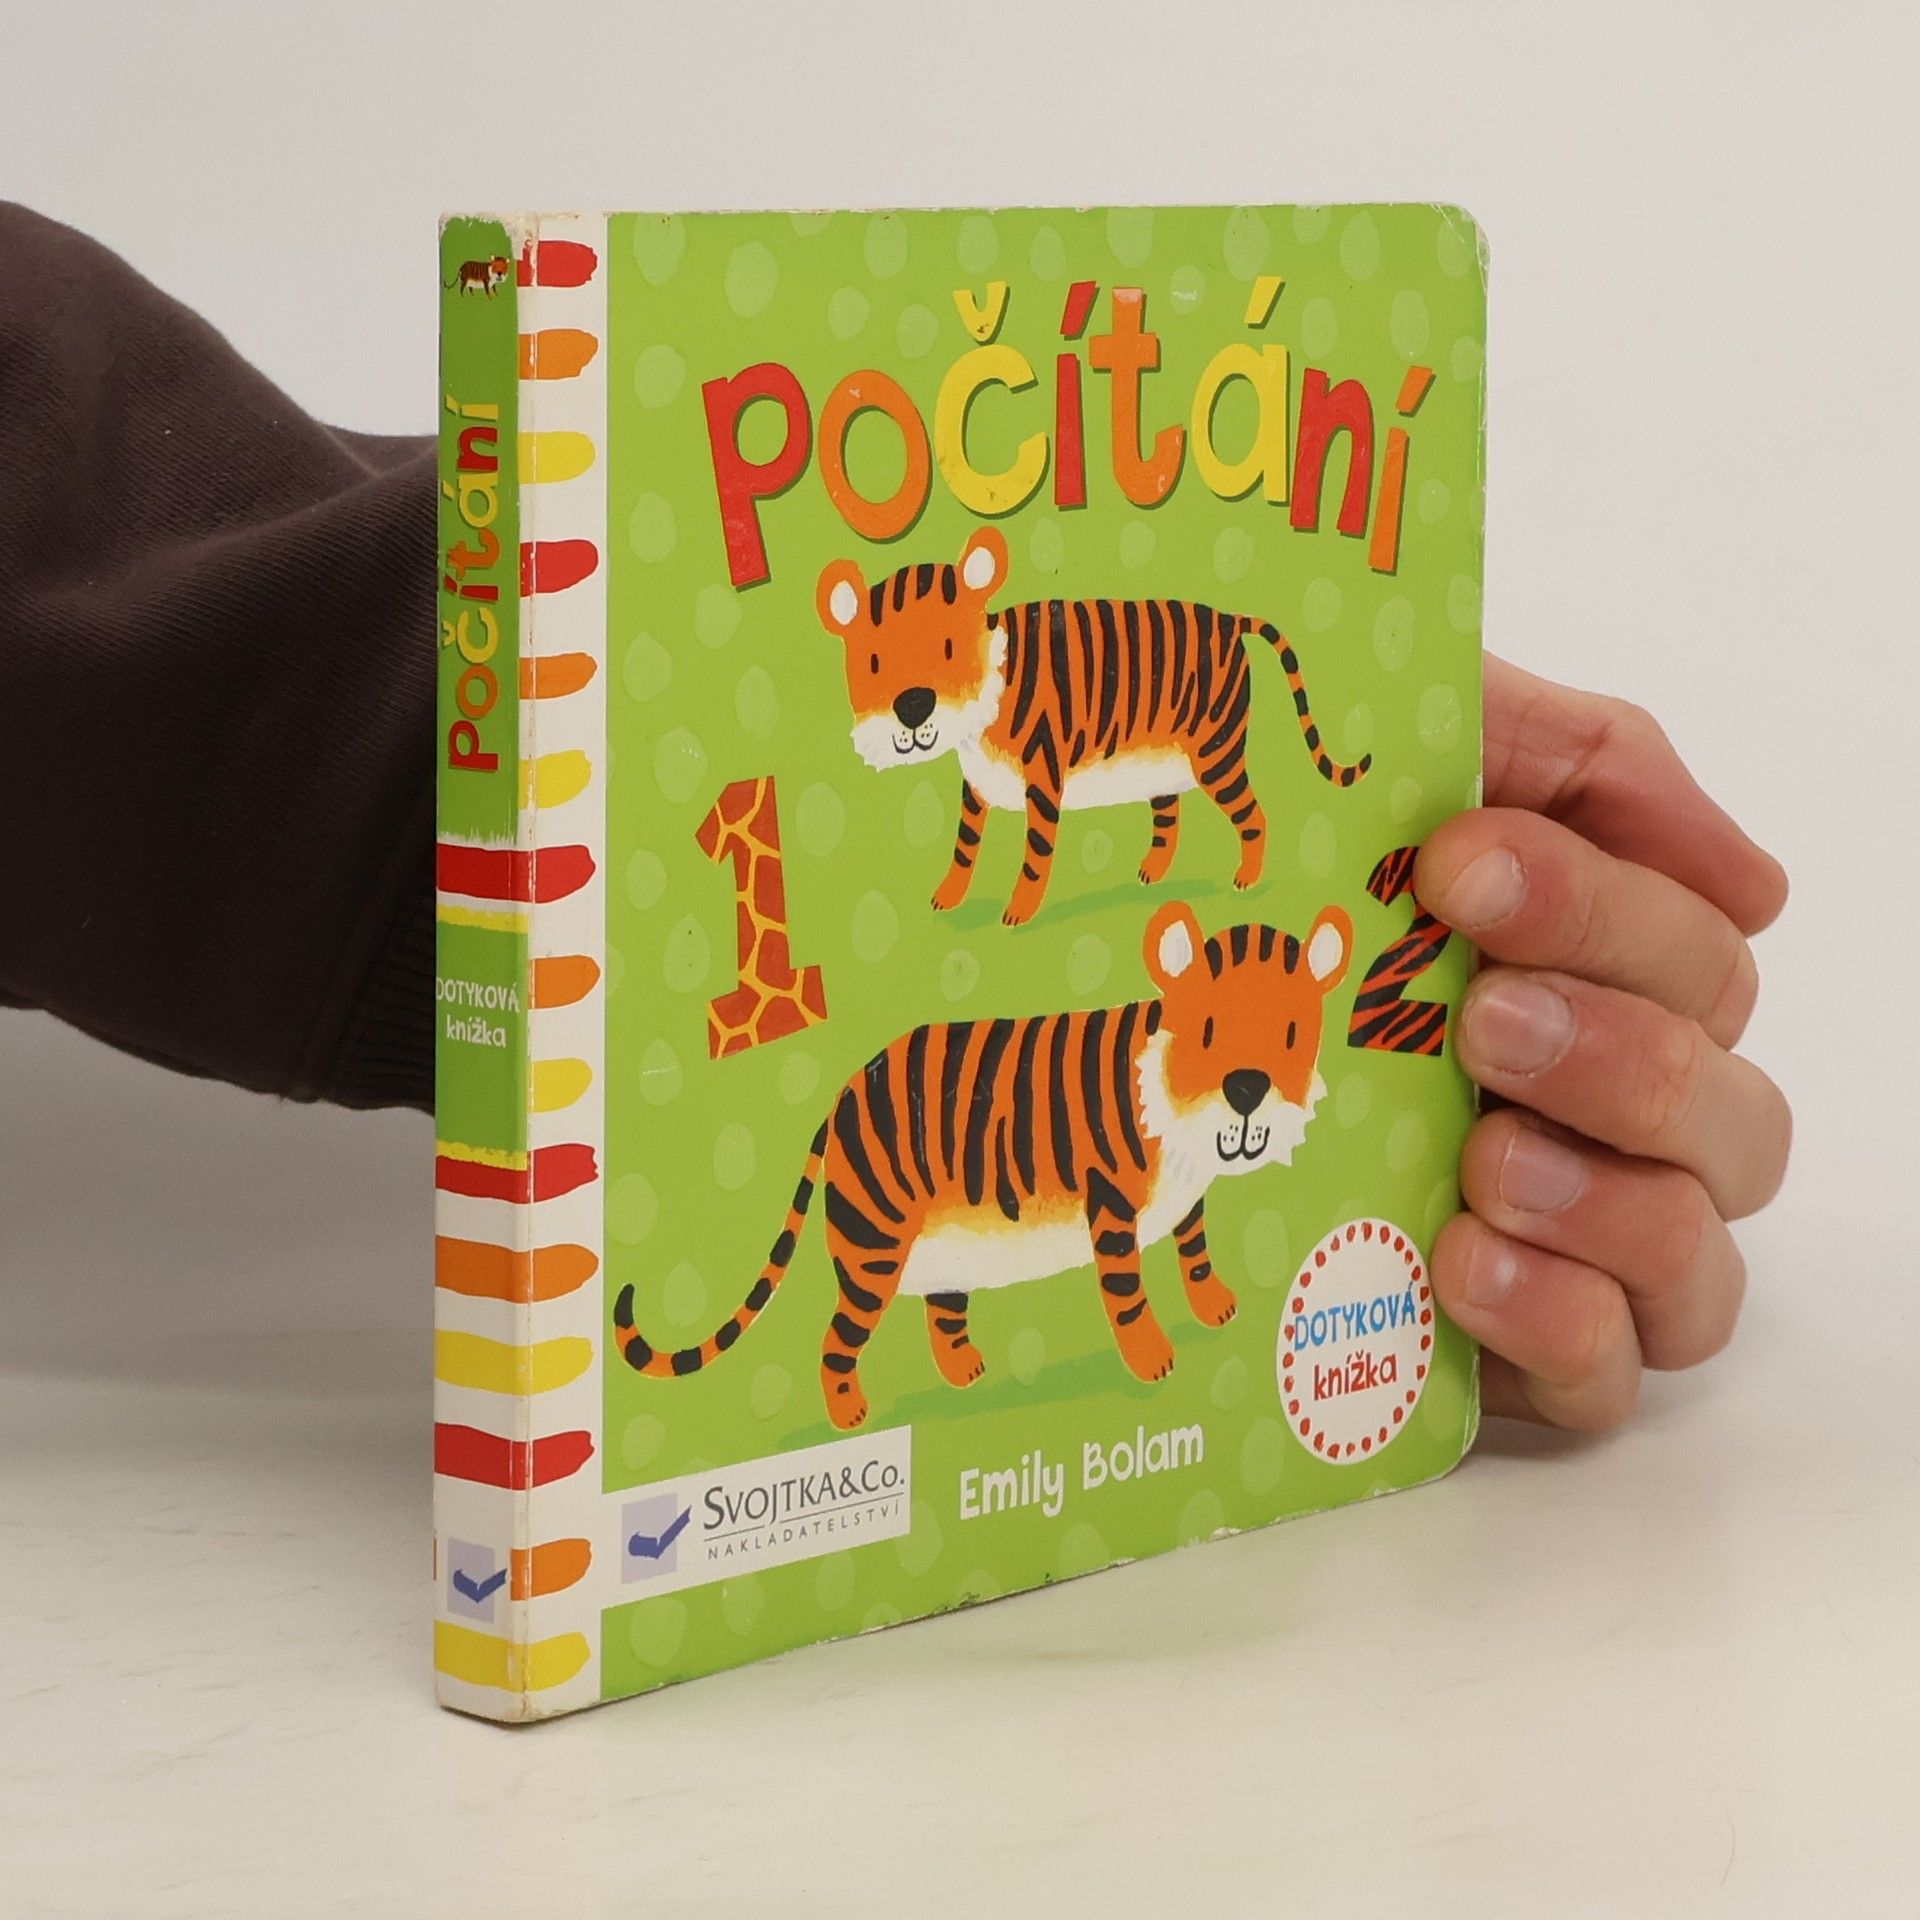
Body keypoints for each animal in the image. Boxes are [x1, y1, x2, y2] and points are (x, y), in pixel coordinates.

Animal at [613, 898, 1352, 1430]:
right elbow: (1128, 1293)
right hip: (873, 1246)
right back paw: (850, 1417)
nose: (1247, 1089)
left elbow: (1194, 1246)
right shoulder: (1111, 1204)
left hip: (944, 1246)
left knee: (940, 1312)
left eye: (1291, 1034)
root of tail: (841, 1094)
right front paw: (1153, 1359)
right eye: (1207, 1032)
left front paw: (1215, 1303)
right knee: (835, 1338)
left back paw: (965, 1370)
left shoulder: (1186, 1189)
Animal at [814, 526, 1370, 927]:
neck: (978, 718)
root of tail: (1232, 620)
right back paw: (1152, 874)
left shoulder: (1043, 778)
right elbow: (964, 847)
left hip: (1216, 755)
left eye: (949, 647)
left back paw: (1246, 880)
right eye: (874, 663)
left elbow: (1035, 854)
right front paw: (948, 897)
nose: (913, 706)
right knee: (1170, 820)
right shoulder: (977, 784)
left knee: (1254, 817)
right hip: (1162, 763)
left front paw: (1018, 913)